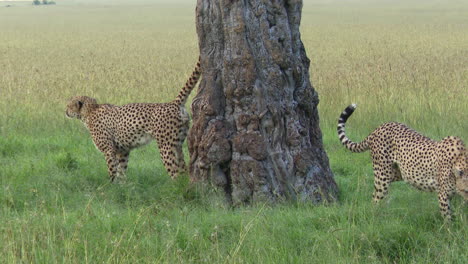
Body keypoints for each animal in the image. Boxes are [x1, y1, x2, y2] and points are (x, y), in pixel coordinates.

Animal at [65, 58, 200, 183]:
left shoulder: (109, 150)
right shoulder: (122, 150)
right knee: (183, 168)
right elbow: (122, 170)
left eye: (69, 105)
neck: (89, 111)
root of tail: (173, 103)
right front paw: (123, 185)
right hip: (178, 143)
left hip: (165, 146)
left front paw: (110, 185)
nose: (65, 111)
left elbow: (112, 169)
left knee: (174, 171)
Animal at [338, 103, 466, 221]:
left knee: (377, 193)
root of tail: (380, 127)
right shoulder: (443, 194)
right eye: (466, 190)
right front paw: (450, 228)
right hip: (383, 175)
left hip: (397, 173)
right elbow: (448, 218)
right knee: (376, 197)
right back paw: (376, 216)